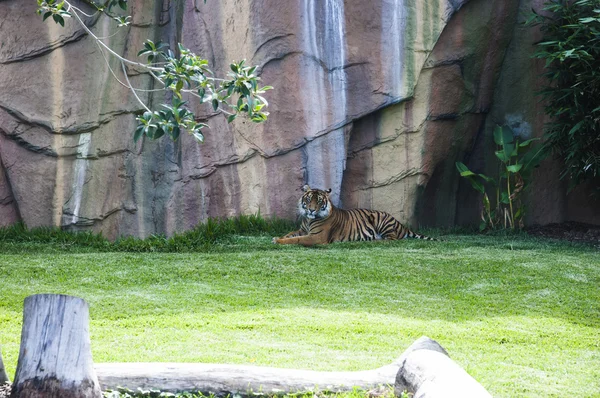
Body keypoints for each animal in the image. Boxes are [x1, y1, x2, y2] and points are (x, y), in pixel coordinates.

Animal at [274, 186, 436, 246]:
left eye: (319, 201)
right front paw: (278, 237)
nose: (312, 210)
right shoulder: (302, 230)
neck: (309, 220)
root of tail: (400, 224)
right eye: (308, 199)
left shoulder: (317, 237)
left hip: (381, 220)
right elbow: (290, 234)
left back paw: (375, 240)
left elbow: (296, 239)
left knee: (392, 239)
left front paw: (279, 241)